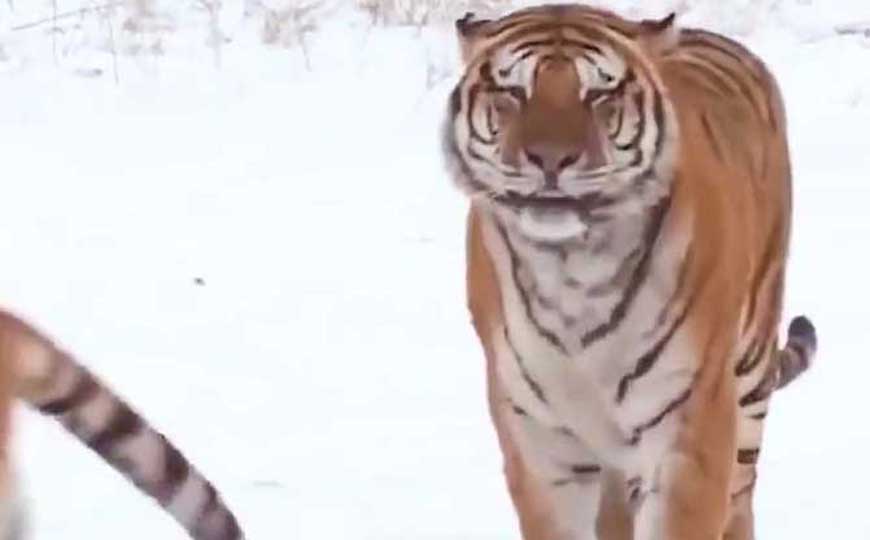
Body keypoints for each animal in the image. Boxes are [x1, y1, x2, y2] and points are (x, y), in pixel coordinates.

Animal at [441, 4, 817, 539]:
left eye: (599, 95)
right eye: (513, 92)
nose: (550, 159)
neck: (574, 268)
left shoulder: (689, 423)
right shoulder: (538, 439)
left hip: (749, 375)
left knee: (741, 499)